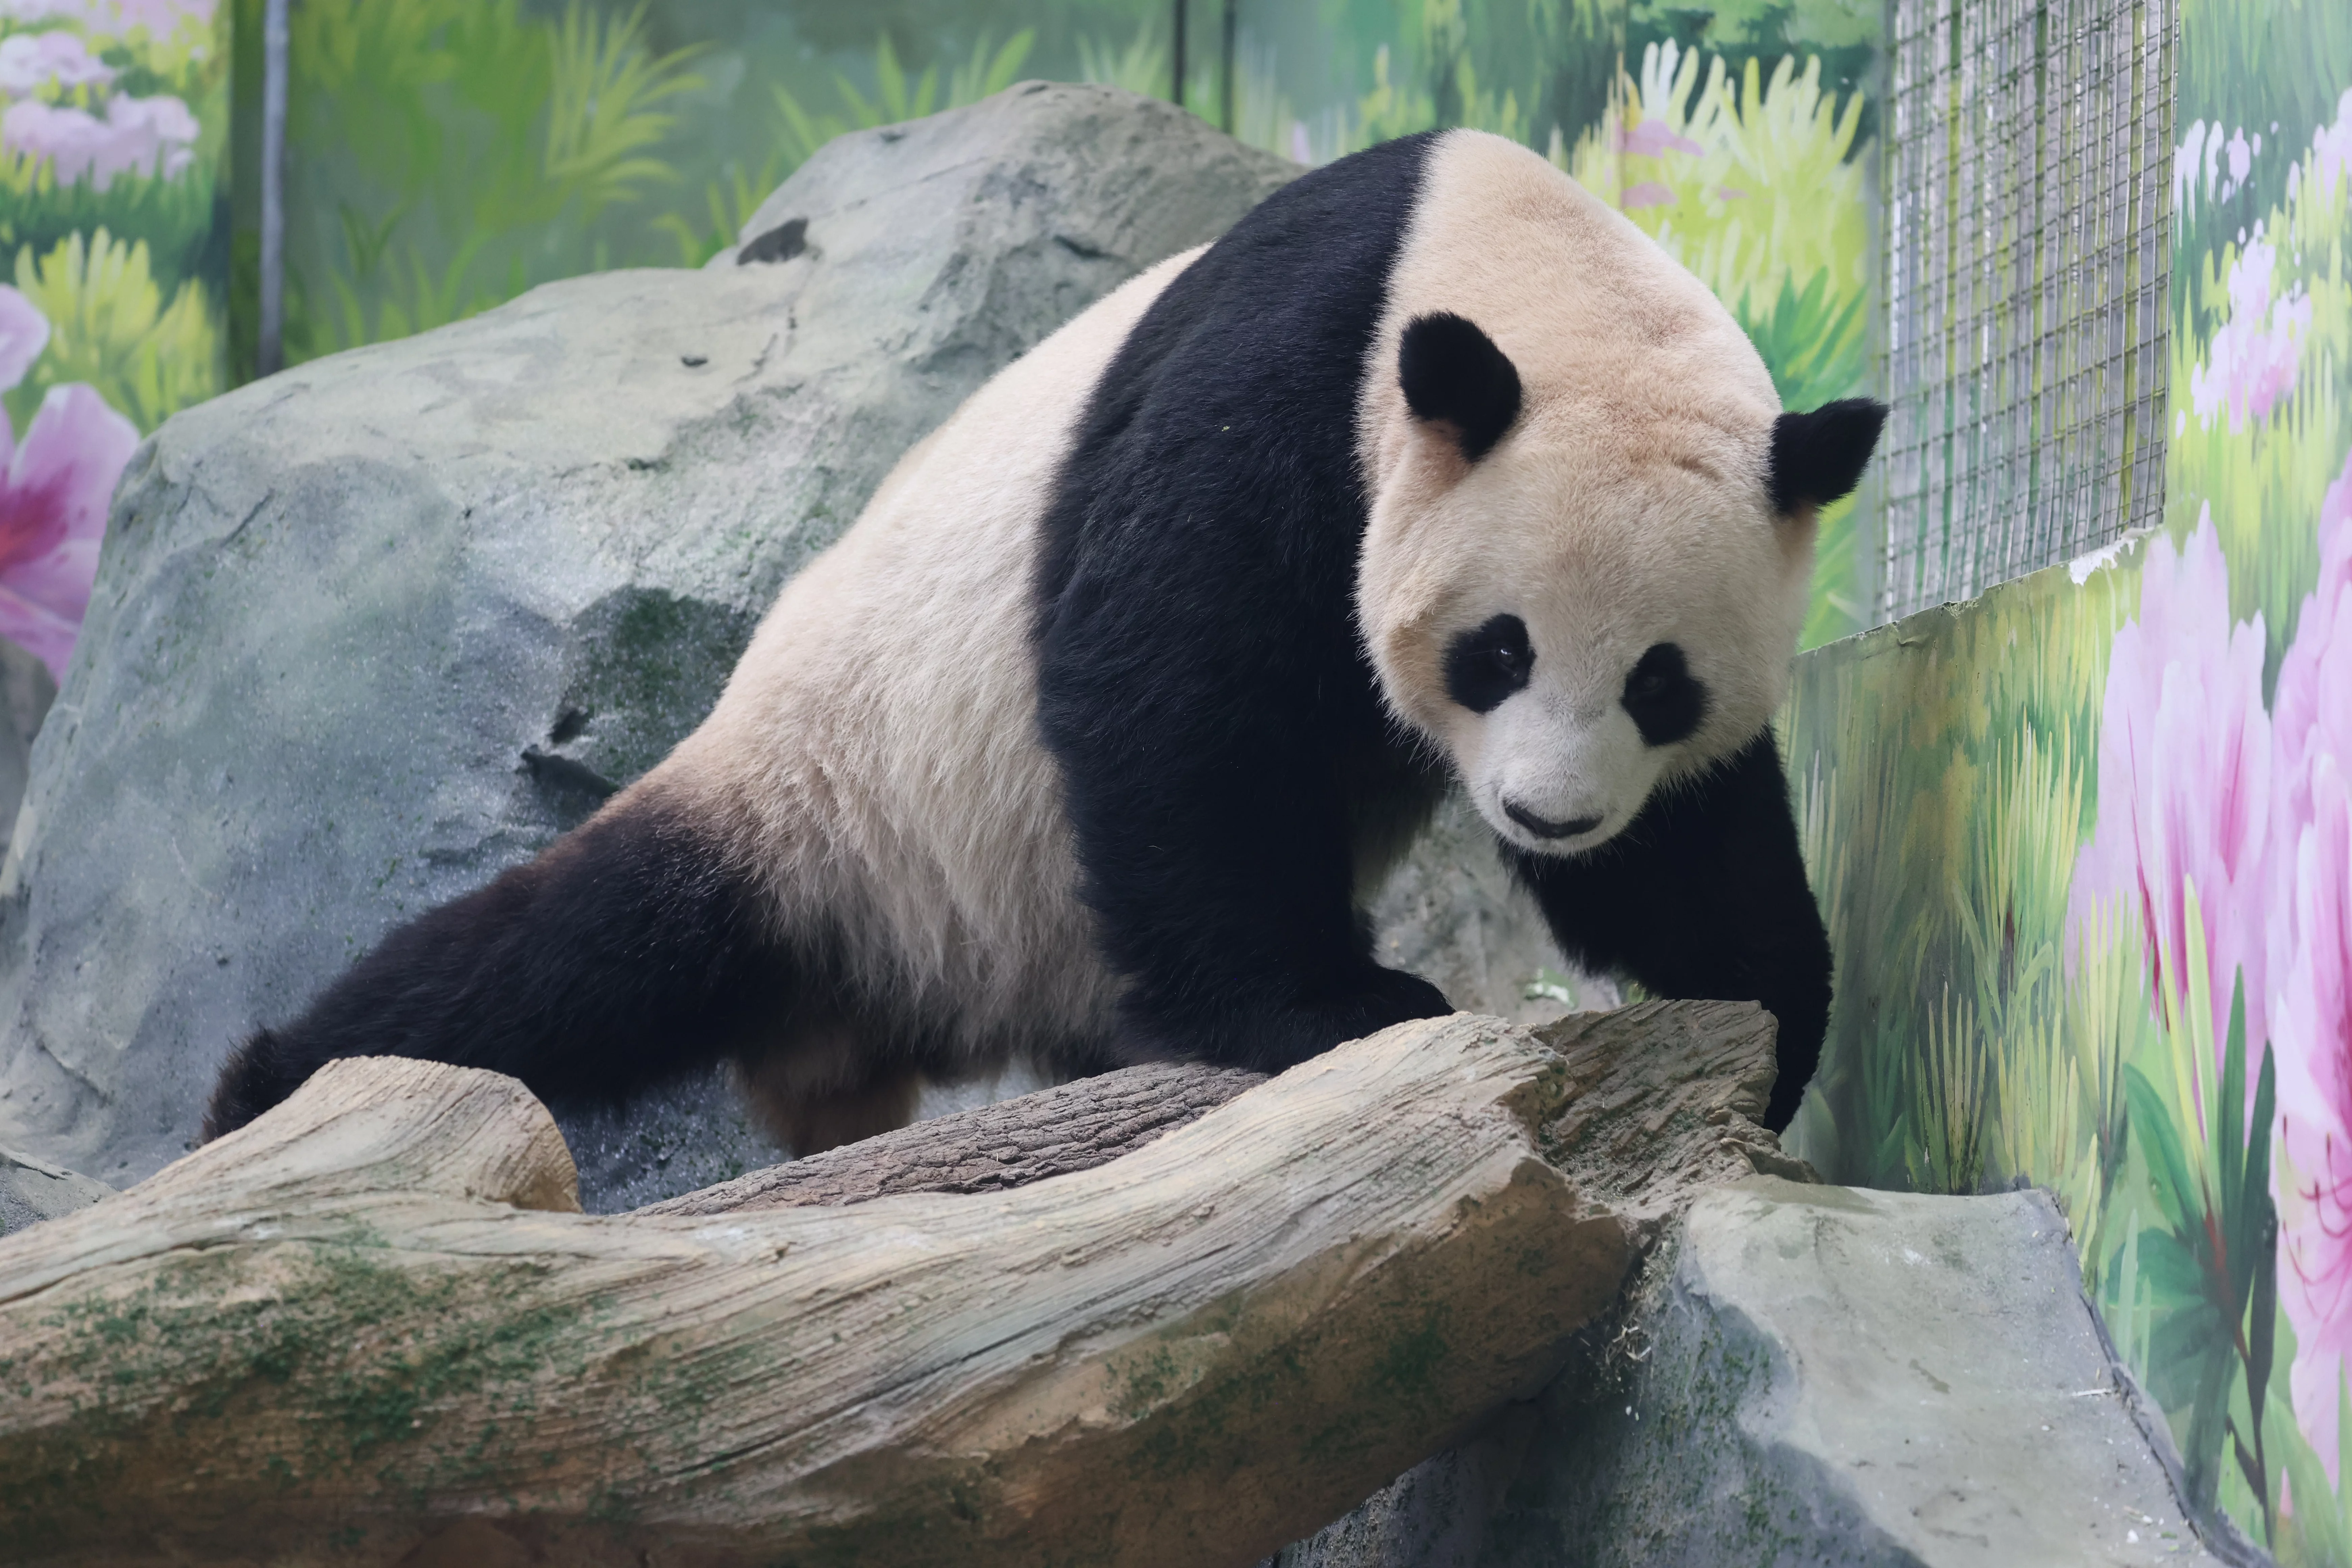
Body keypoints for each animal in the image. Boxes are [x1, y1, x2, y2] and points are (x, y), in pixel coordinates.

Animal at [205, 127, 1883, 1152]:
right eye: (1498, 651)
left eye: (1661, 683)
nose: (1548, 813)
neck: (1509, 258)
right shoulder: (1292, 381)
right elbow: (1176, 694)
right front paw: (1340, 1006)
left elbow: (1696, 848)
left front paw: (1768, 1024)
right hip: (828, 795)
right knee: (563, 959)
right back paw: (270, 1082)